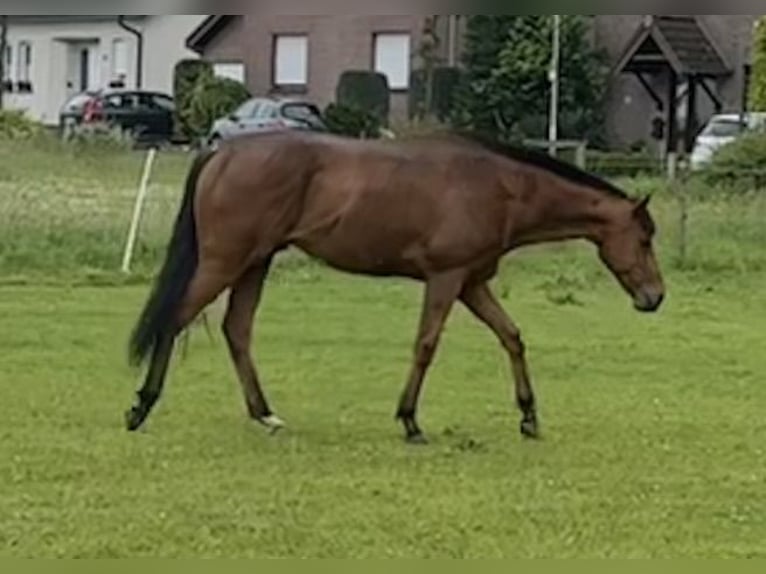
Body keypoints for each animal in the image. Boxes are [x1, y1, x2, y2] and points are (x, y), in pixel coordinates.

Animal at [126, 130, 664, 446]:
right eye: (644, 238)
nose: (656, 297)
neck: (501, 188)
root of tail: (224, 150)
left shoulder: (471, 283)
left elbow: (512, 337)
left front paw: (529, 415)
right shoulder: (447, 278)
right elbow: (426, 345)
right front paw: (409, 420)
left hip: (255, 263)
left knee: (237, 330)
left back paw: (265, 414)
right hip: (226, 261)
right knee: (176, 319)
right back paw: (142, 405)